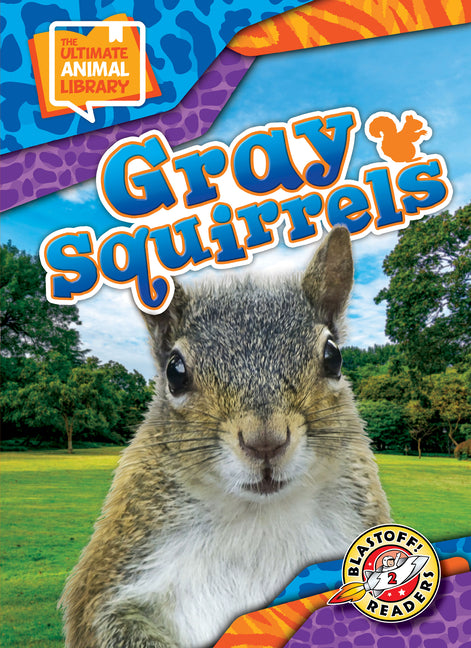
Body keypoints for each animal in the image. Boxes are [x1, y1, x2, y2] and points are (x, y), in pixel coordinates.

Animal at [60, 227, 391, 648]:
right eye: (175, 371)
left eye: (334, 356)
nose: (265, 441)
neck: (258, 515)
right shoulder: (116, 570)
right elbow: (107, 620)